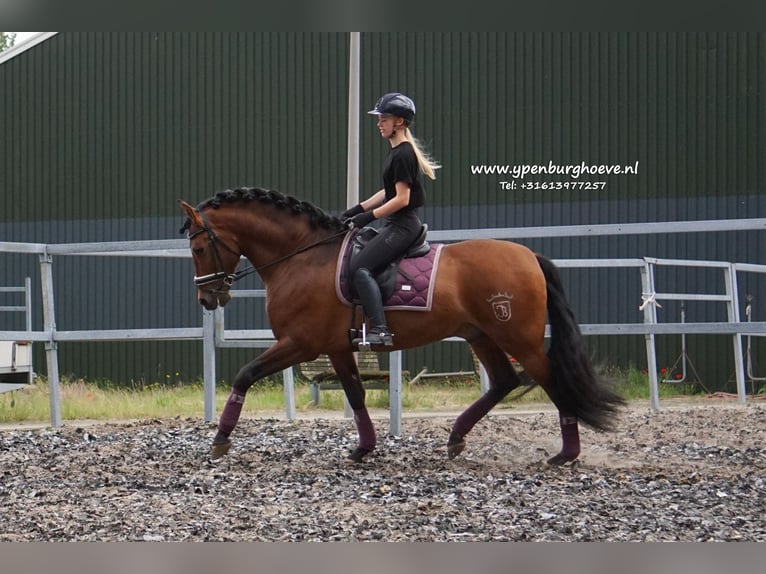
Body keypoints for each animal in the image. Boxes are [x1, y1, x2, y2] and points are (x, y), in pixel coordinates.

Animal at [182, 189, 632, 468]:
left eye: (200, 247)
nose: (207, 299)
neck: (303, 257)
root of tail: (528, 256)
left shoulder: (301, 344)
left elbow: (245, 374)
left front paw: (220, 440)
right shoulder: (337, 348)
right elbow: (356, 395)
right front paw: (363, 448)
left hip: (517, 337)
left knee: (549, 379)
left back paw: (566, 454)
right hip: (481, 335)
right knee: (504, 380)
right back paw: (456, 437)